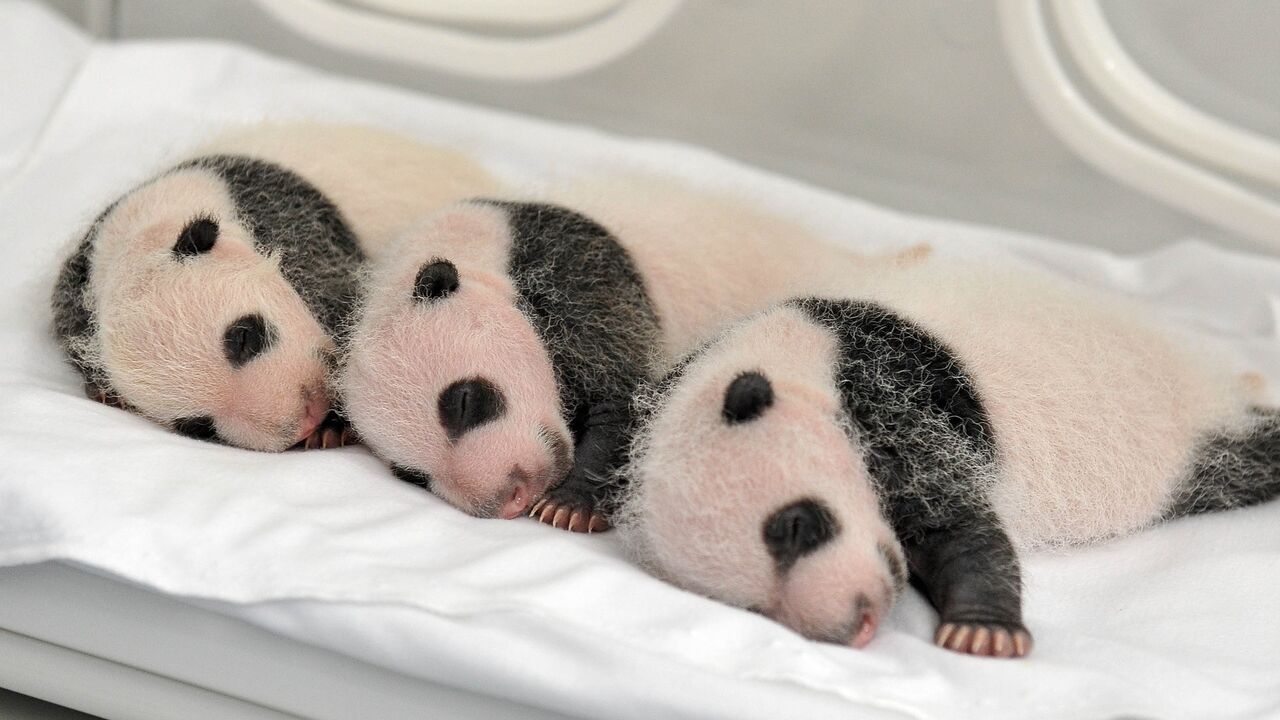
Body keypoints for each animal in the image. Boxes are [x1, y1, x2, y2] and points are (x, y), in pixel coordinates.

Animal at [51, 124, 499, 451]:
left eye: (243, 337)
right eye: (198, 427)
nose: (305, 418)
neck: (145, 226)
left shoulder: (300, 227)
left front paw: (335, 427)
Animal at [339, 183, 928, 530]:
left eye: (464, 402)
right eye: (412, 476)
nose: (510, 495)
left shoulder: (585, 283)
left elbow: (626, 397)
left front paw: (568, 505)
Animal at [615, 257, 1280, 658]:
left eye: (801, 526)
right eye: (753, 608)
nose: (856, 624)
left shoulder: (889, 401)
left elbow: (955, 522)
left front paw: (983, 630)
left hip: (1194, 446)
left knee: (1247, 461)